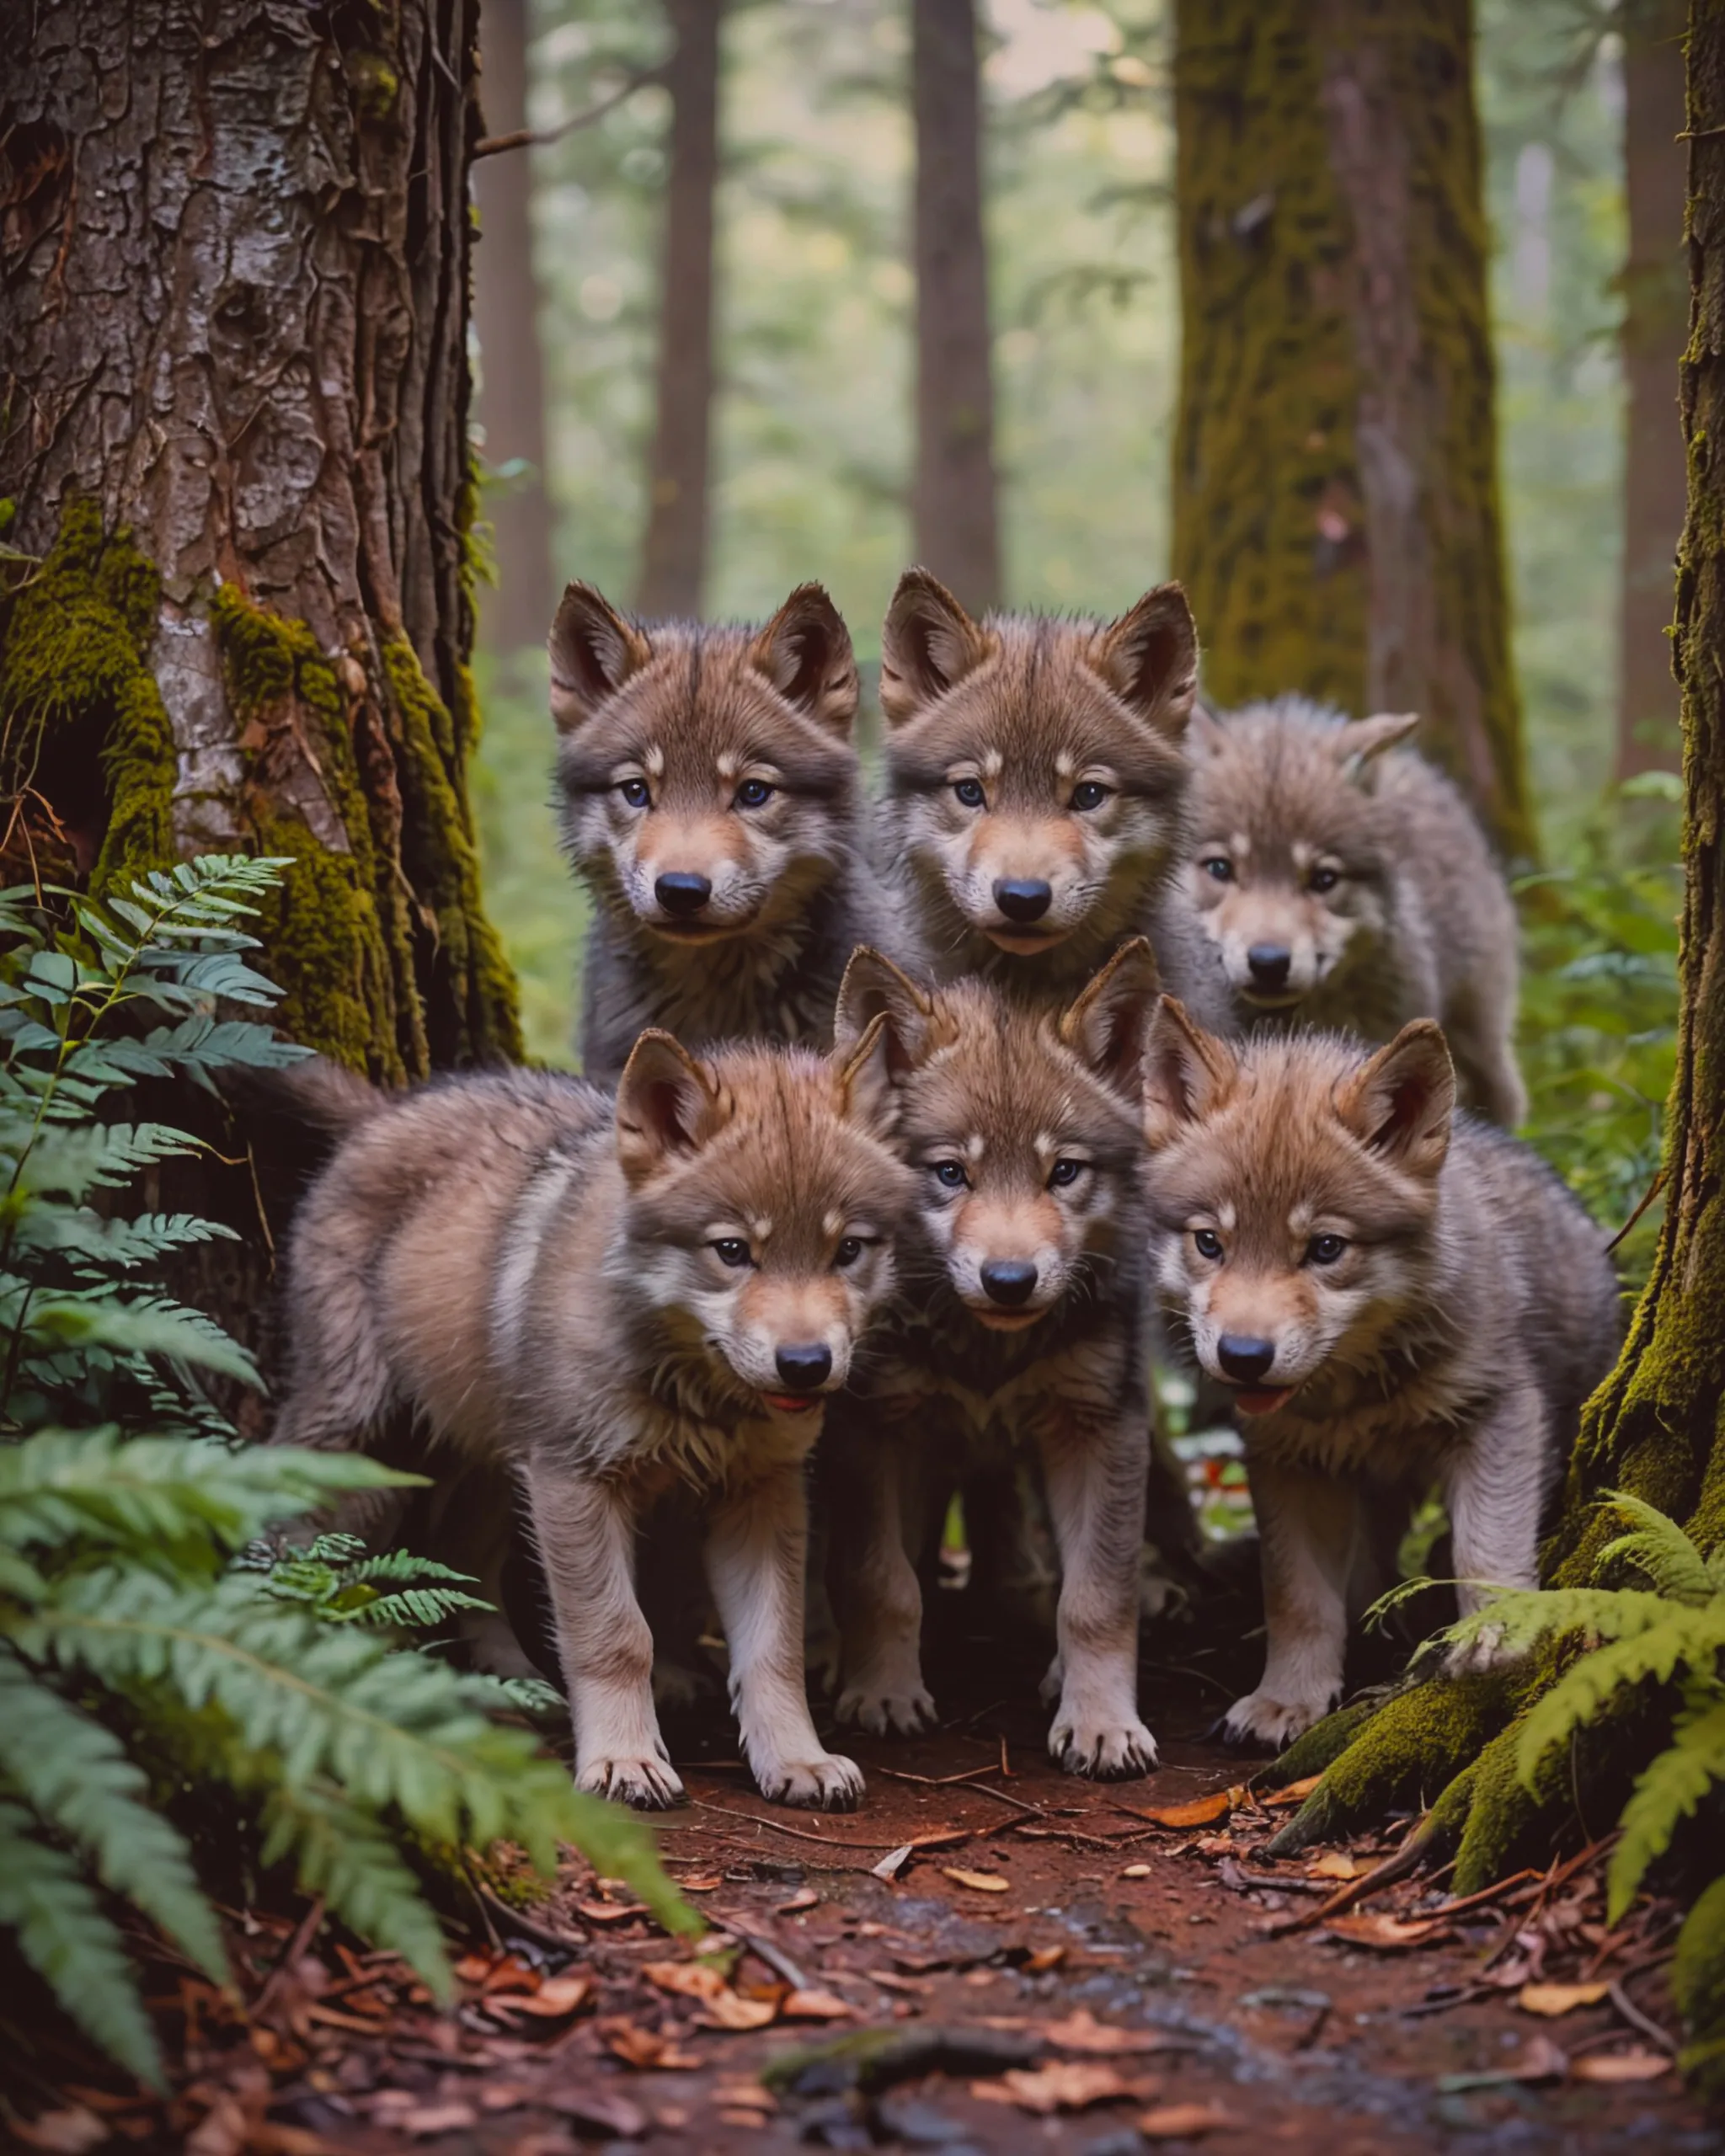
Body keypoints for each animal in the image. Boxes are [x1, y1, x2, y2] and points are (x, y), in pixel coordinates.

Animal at [269, 1029, 915, 1810]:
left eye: (847, 1250)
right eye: (732, 1251)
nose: (806, 1364)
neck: (693, 1390)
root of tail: (386, 1109)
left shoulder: (763, 1493)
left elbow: (773, 1650)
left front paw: (798, 1759)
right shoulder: (576, 1482)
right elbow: (616, 1635)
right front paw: (623, 1760)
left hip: (504, 1470)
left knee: (462, 1562)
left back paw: (514, 1684)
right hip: (364, 1433)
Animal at [822, 940, 1162, 1778]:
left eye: (1064, 1172)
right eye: (951, 1173)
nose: (1010, 1280)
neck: (988, 1349)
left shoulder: (1101, 1426)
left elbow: (1095, 1596)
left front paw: (1101, 1721)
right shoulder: (875, 1431)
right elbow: (885, 1580)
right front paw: (883, 1693)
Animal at [1140, 1000, 1621, 1749]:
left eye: (1326, 1248)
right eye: (1209, 1243)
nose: (1243, 1355)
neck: (1355, 1390)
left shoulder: (1498, 1415)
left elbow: (1484, 1550)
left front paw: (1494, 1636)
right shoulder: (1289, 1463)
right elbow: (1299, 1600)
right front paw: (1287, 1700)